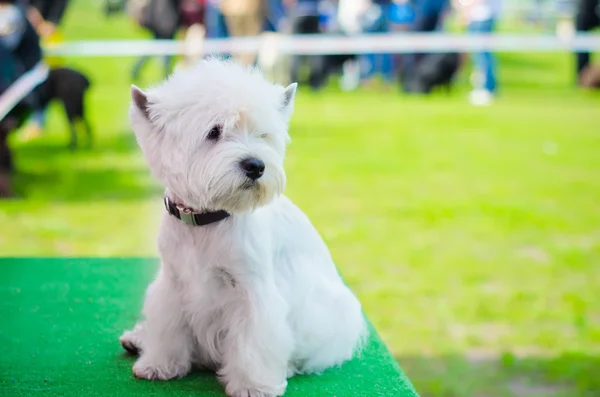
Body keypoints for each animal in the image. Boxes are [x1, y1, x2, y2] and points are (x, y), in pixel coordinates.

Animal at [120, 58, 366, 396]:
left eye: (263, 135)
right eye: (214, 131)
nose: (256, 166)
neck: (205, 220)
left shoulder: (253, 292)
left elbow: (254, 341)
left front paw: (253, 385)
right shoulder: (172, 282)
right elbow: (166, 324)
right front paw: (159, 363)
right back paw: (136, 339)